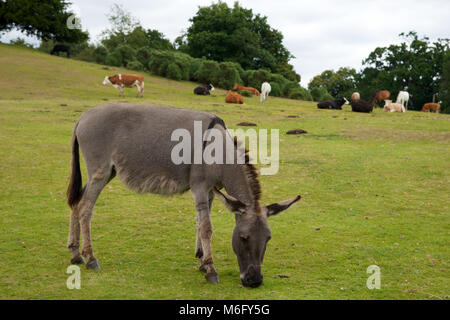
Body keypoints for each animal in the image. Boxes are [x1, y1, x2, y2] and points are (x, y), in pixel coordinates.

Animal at [67, 103, 300, 288]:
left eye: (268, 238)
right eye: (244, 238)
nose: (255, 282)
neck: (218, 151)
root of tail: (83, 116)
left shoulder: (211, 191)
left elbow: (199, 222)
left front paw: (202, 261)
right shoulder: (200, 187)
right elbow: (206, 227)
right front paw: (211, 270)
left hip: (108, 172)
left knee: (77, 202)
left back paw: (76, 254)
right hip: (100, 171)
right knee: (86, 207)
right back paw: (90, 258)